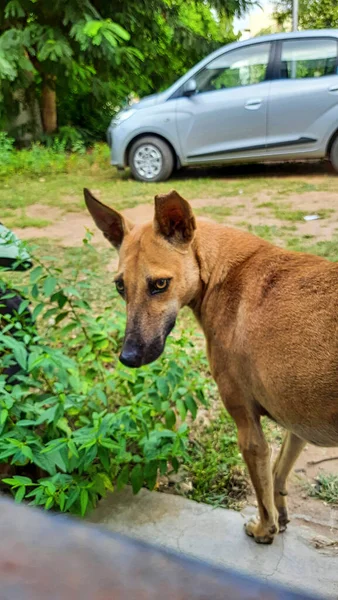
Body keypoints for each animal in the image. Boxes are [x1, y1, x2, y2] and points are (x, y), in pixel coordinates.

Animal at [85, 188, 338, 544]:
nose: (129, 357)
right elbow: (278, 475)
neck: (219, 270)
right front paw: (281, 516)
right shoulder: (298, 420)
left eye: (160, 284)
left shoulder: (249, 432)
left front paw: (264, 530)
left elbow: (262, 495)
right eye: (120, 286)